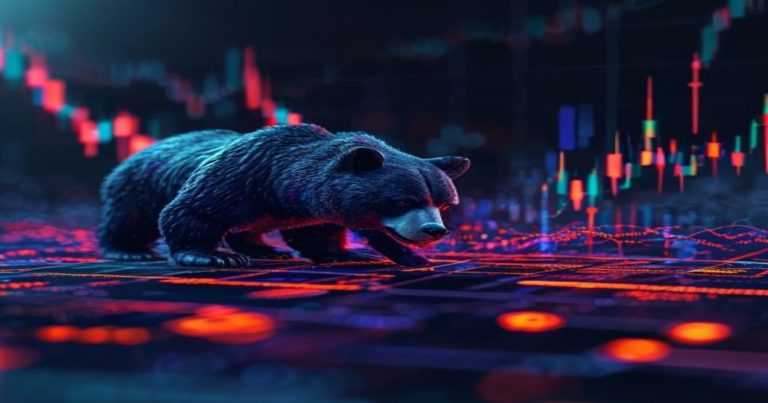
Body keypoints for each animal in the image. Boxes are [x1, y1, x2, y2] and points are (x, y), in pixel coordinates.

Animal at [98, 124, 470, 267]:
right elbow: (191, 211)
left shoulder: (312, 206)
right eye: (403, 201)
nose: (434, 230)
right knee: (129, 218)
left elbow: (317, 232)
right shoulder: (241, 176)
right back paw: (127, 249)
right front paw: (212, 256)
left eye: (444, 203)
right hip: (137, 185)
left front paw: (349, 253)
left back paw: (266, 249)